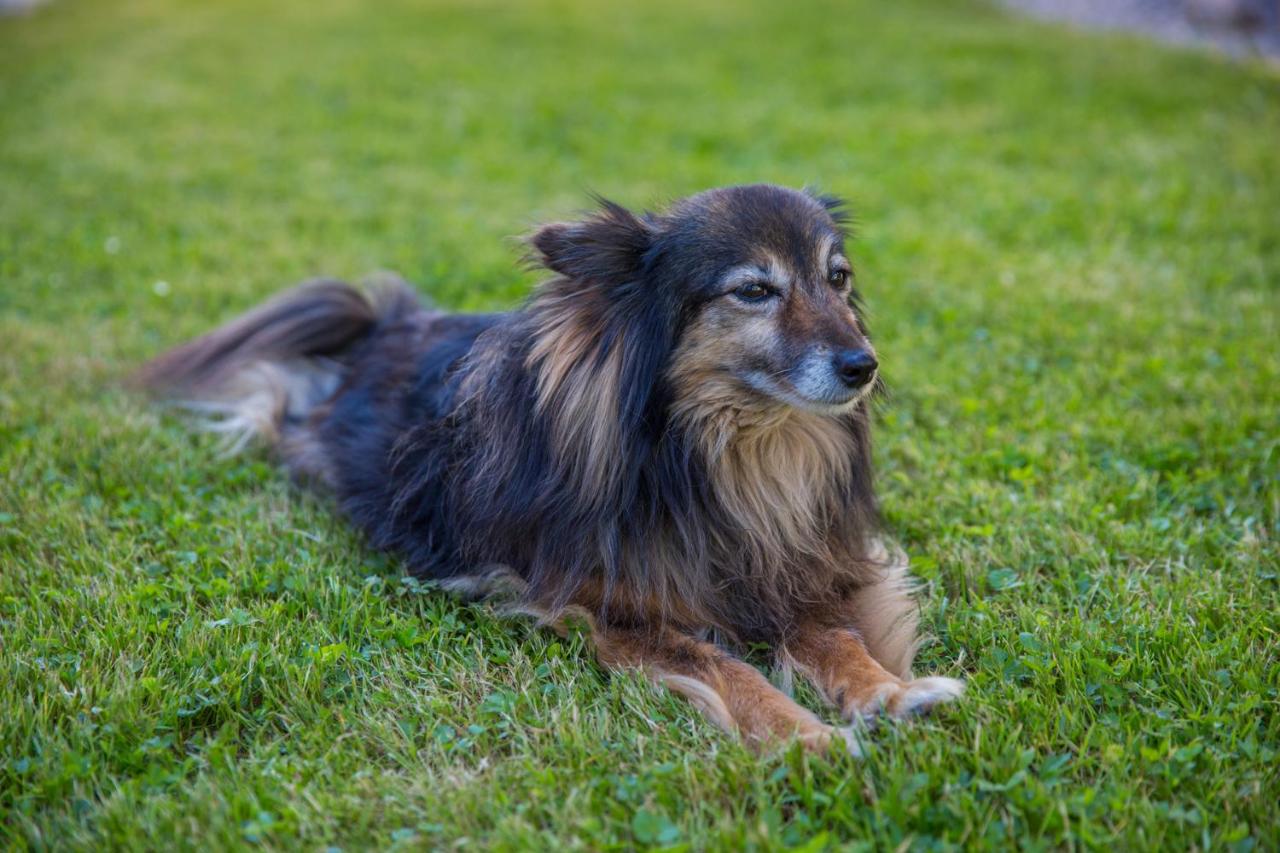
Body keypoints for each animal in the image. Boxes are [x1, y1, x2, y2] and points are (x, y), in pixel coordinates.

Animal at [140, 185, 962, 753]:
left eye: (839, 279)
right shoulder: (614, 609)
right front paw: (806, 737)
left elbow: (838, 638)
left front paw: (892, 694)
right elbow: (728, 669)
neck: (727, 456)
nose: (863, 365)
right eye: (754, 290)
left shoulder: (789, 569)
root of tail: (388, 324)